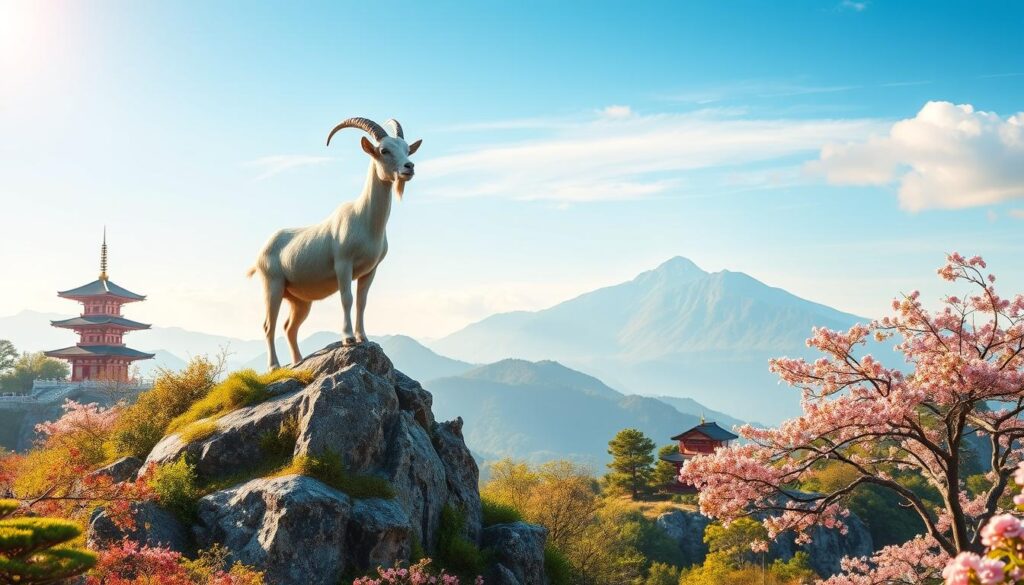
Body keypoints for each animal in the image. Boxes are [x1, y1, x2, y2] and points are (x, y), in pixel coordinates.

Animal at [248, 117, 422, 369]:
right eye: (384, 150)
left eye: (407, 149)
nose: (409, 167)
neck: (364, 219)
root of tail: (262, 252)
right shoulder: (343, 264)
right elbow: (347, 299)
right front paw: (348, 338)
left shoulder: (370, 270)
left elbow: (362, 302)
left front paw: (363, 337)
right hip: (272, 285)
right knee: (268, 325)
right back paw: (274, 366)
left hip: (299, 300)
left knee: (290, 327)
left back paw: (298, 361)